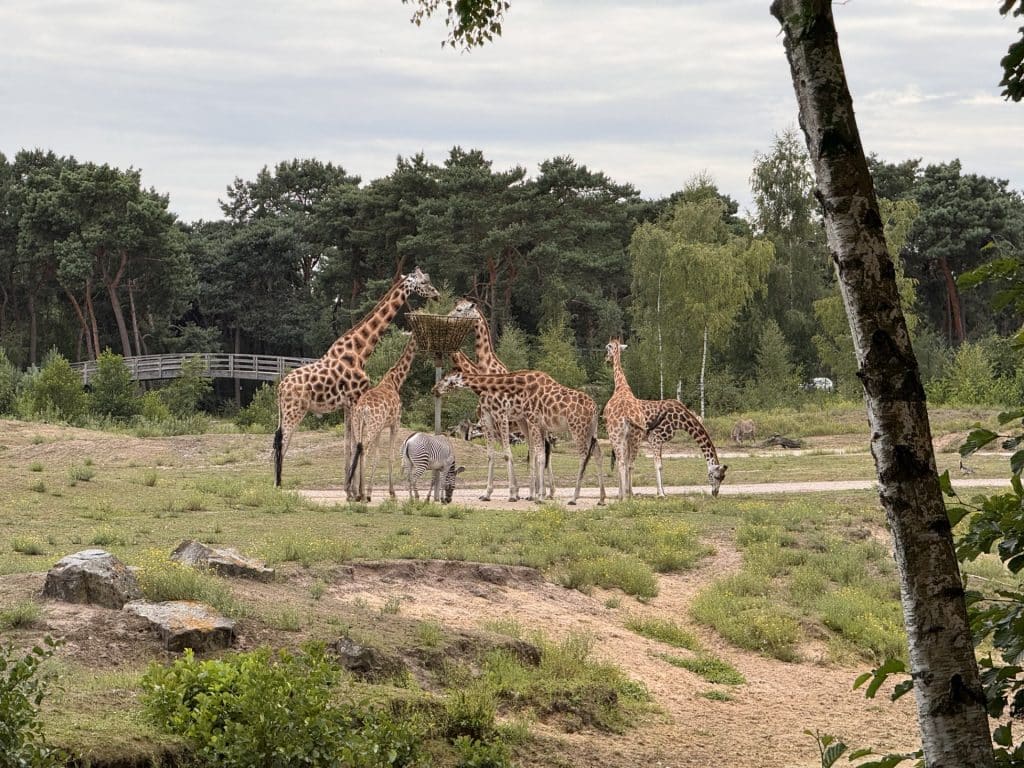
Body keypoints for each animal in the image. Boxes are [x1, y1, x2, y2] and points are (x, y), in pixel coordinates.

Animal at [345, 333, 418, 502]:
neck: (395, 381)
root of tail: (363, 408)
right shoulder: (395, 423)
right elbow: (391, 456)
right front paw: (392, 493)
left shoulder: (380, 428)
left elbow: (377, 457)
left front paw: (371, 492)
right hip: (372, 425)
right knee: (364, 449)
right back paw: (360, 494)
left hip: (359, 424)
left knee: (356, 448)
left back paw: (356, 493)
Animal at [433, 368, 605, 505]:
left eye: (447, 380)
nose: (434, 390)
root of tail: (595, 409)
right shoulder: (497, 421)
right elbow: (495, 455)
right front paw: (491, 494)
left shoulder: (515, 418)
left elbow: (526, 455)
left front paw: (521, 495)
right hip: (589, 431)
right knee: (597, 452)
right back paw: (601, 499)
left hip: (577, 428)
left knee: (582, 455)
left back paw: (572, 498)